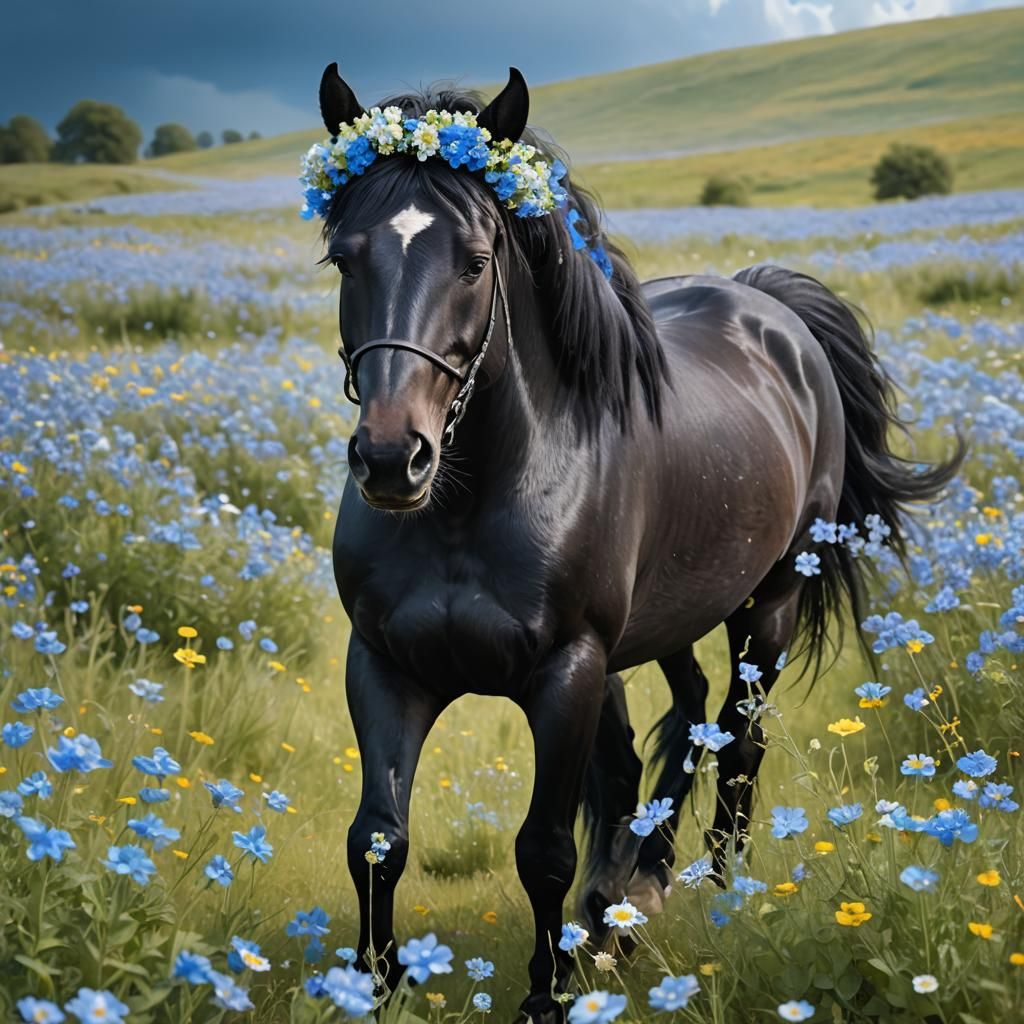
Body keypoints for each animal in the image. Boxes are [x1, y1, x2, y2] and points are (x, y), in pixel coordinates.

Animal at [315, 65, 960, 1023]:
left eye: (475, 261)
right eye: (344, 257)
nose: (394, 459)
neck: (474, 503)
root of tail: (771, 306)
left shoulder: (569, 670)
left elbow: (543, 849)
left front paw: (547, 995)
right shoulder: (387, 665)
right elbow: (378, 838)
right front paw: (379, 985)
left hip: (766, 605)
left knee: (738, 740)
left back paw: (715, 893)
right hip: (662, 622)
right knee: (679, 721)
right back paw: (631, 893)